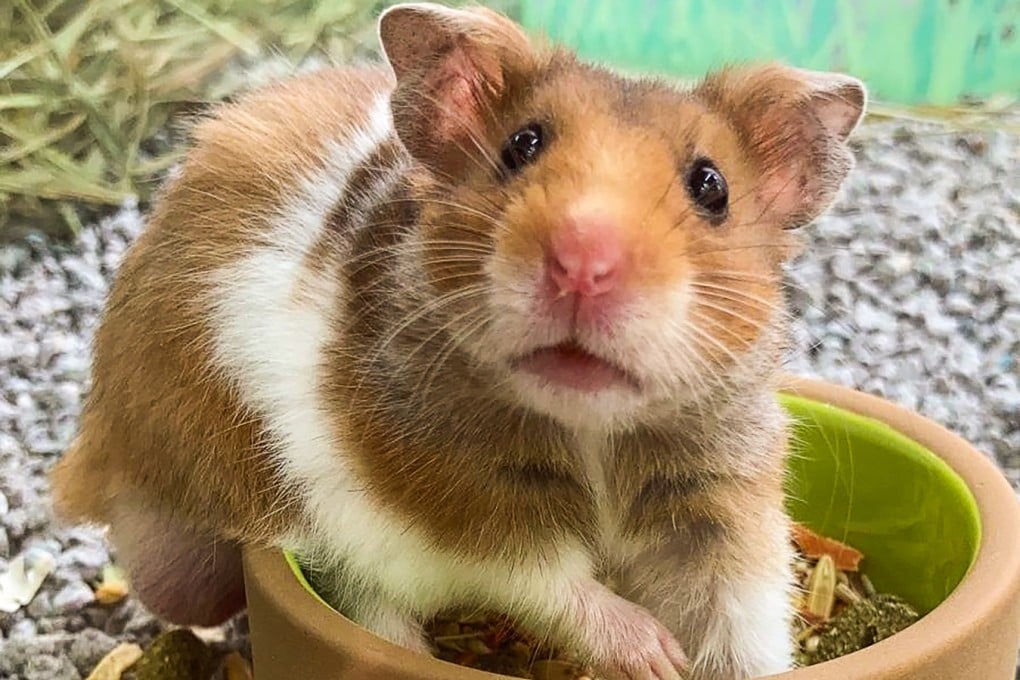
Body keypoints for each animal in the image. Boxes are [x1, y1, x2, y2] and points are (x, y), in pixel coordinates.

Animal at [50, 3, 866, 679]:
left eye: (711, 186)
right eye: (521, 145)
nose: (582, 262)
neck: (590, 427)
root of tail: (98, 454)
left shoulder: (717, 504)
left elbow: (742, 622)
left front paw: (687, 660)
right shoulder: (461, 508)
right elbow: (551, 582)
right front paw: (655, 654)